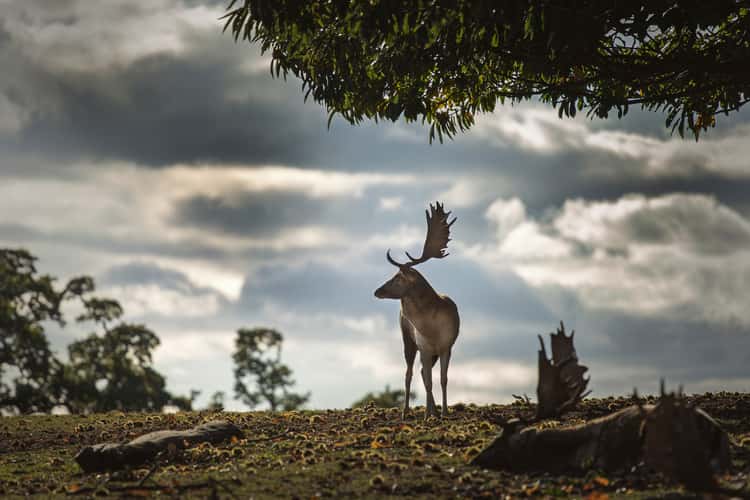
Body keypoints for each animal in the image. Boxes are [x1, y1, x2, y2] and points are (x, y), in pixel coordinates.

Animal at [374, 202, 459, 419]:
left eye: (397, 277)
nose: (377, 291)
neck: (432, 328)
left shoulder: (447, 346)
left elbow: (443, 379)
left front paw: (444, 412)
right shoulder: (424, 347)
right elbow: (428, 381)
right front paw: (428, 415)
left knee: (421, 373)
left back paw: (434, 410)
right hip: (408, 341)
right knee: (410, 373)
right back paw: (407, 412)